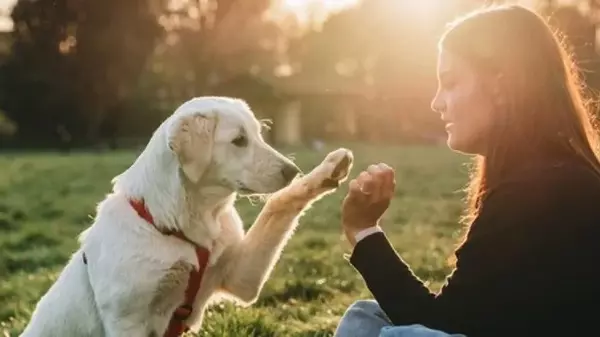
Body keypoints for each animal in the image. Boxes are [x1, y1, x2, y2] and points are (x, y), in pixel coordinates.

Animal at [21, 96, 354, 334]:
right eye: (239, 140)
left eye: (259, 135)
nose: (291, 170)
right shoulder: (126, 319)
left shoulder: (240, 277)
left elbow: (279, 203)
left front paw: (326, 171)